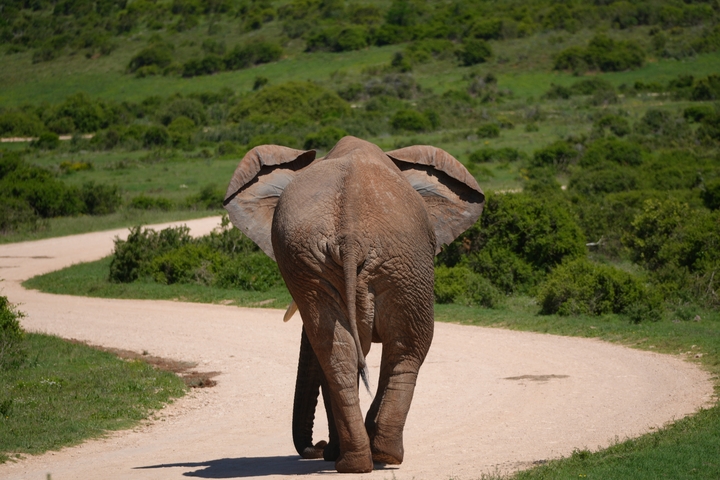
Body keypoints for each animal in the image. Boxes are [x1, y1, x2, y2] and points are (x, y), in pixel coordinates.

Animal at [223, 136, 484, 473]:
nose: (317, 446)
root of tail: (350, 234)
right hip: (387, 259)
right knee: (401, 347)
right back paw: (375, 456)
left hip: (367, 259)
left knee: (347, 351)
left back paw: (361, 459)